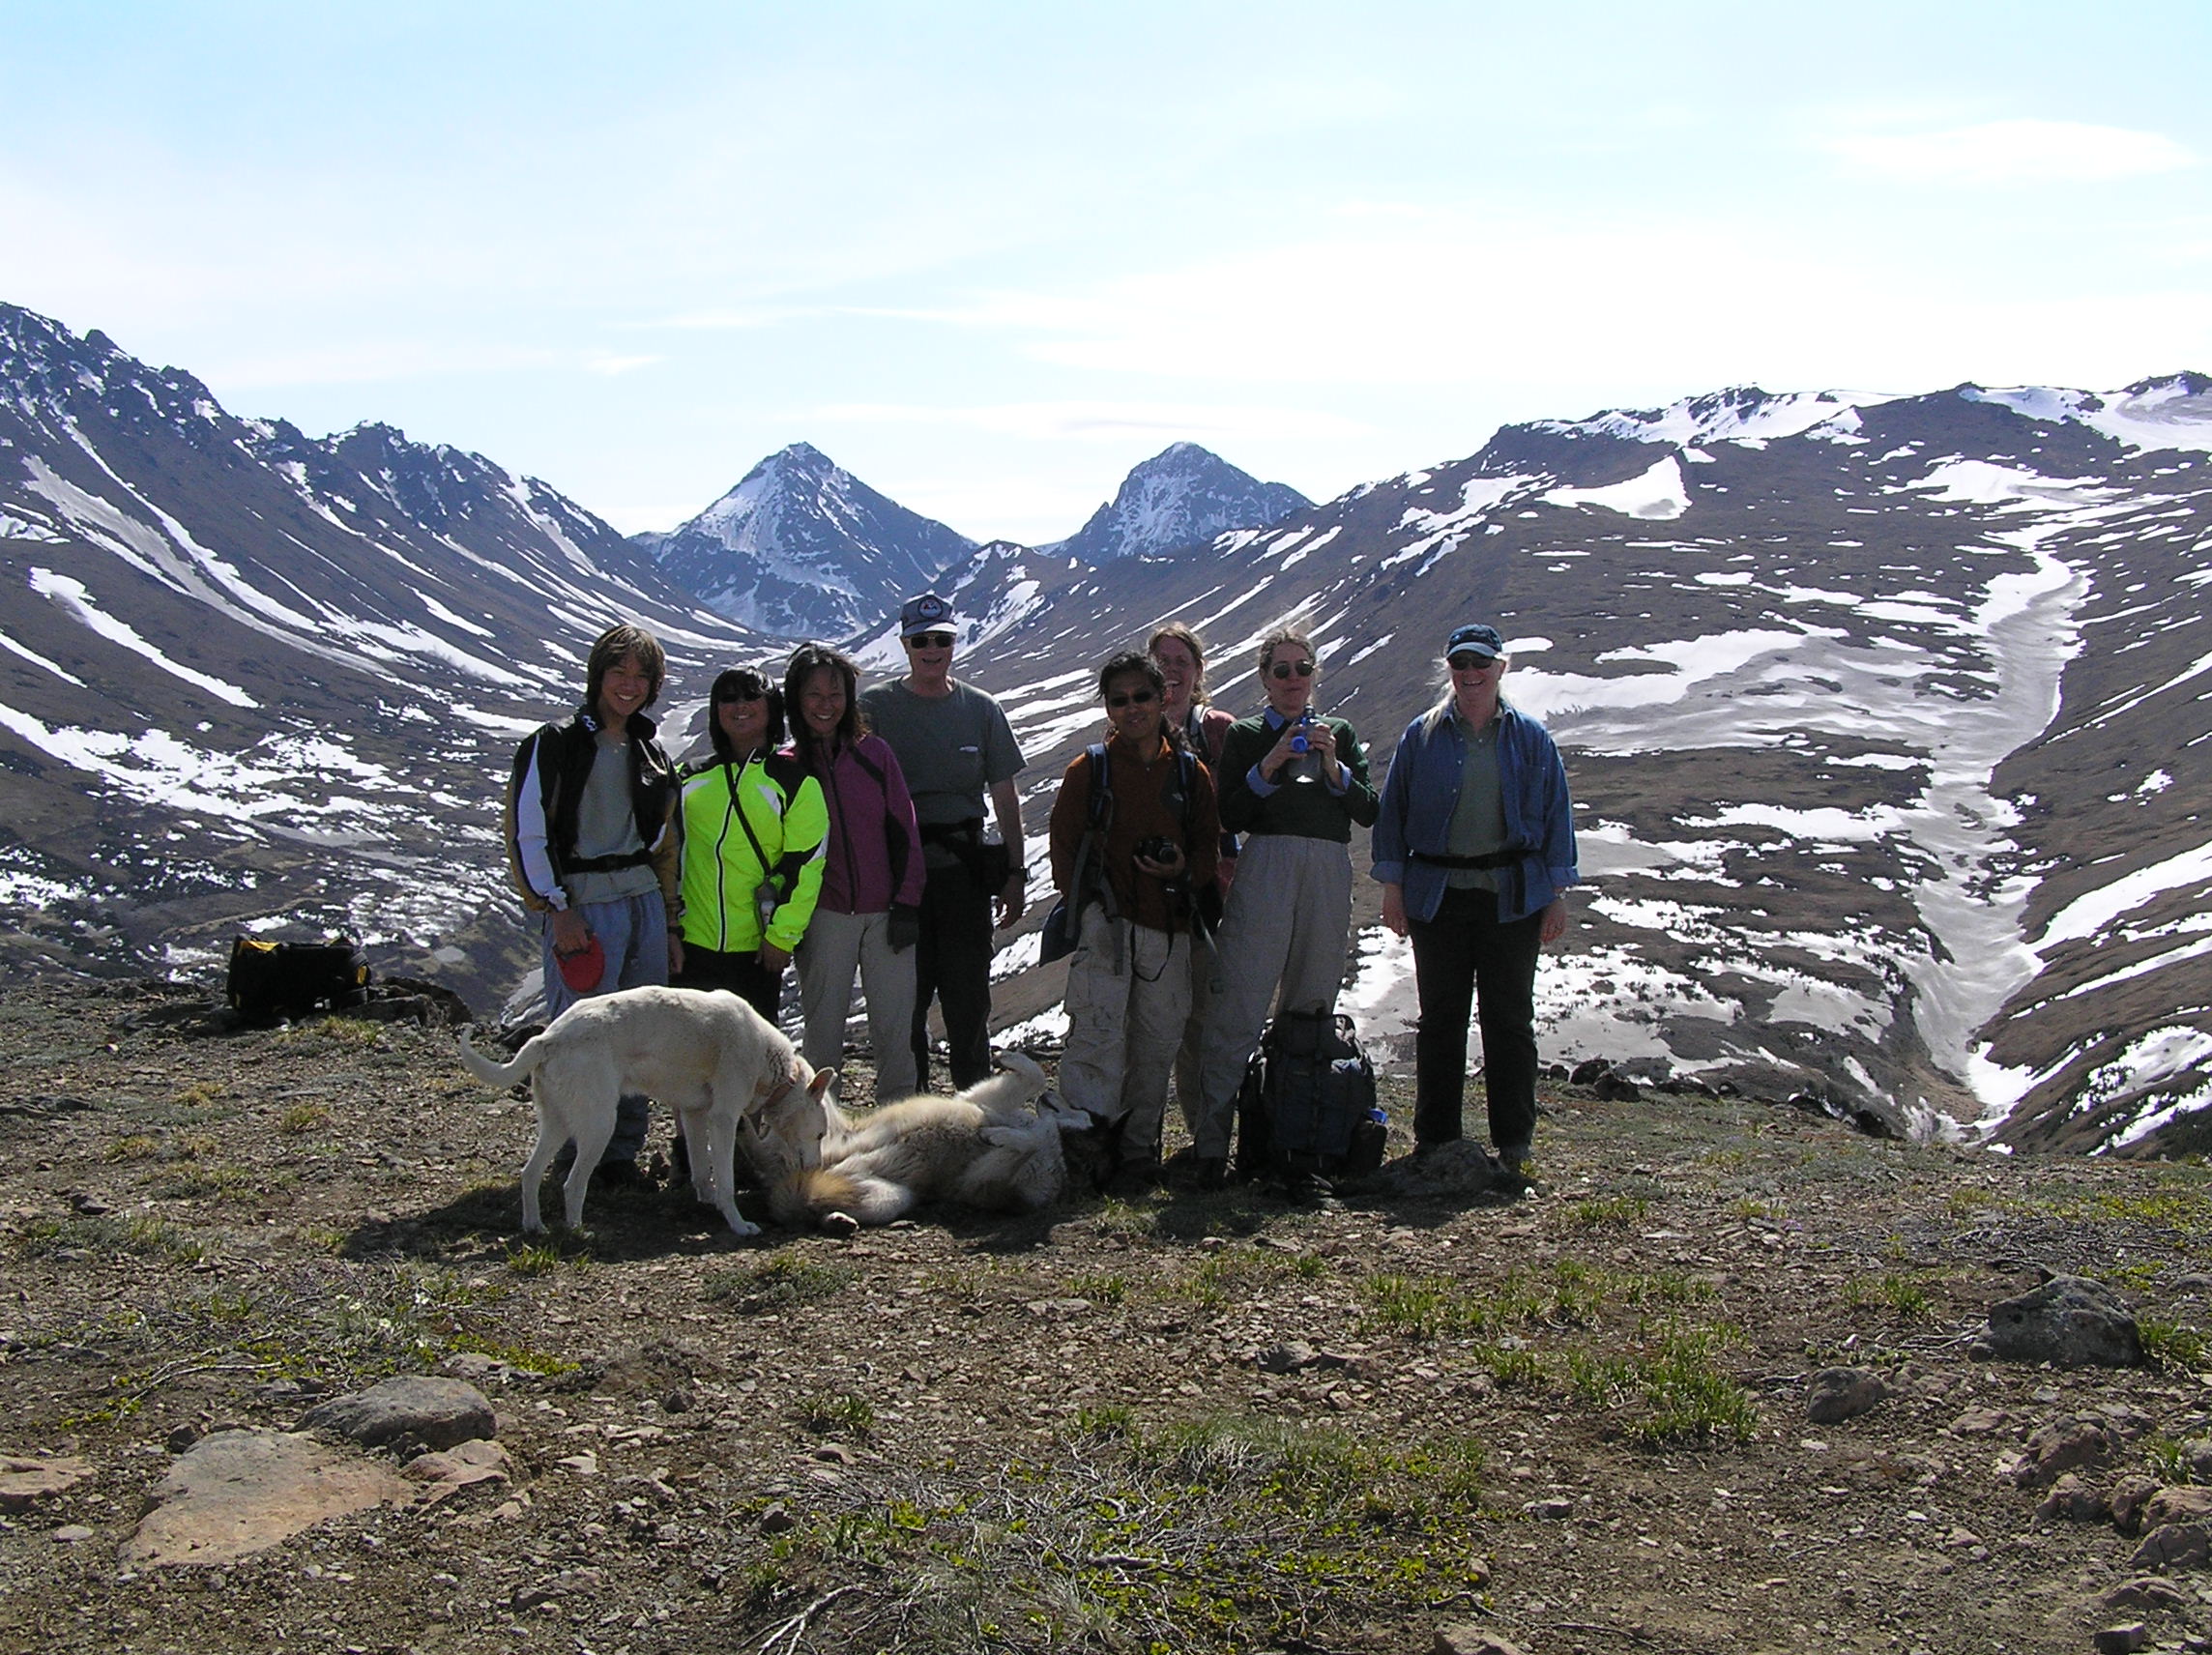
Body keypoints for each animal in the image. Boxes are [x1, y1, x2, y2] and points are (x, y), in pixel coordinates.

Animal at [457, 985, 837, 1237]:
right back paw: (577, 1231)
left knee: (530, 1173)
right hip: (598, 1126)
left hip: (557, 1124)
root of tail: (547, 1038)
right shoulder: (724, 1119)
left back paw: (534, 1226)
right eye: (820, 1134)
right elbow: (726, 1182)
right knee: (572, 1183)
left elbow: (702, 1172)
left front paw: (708, 1203)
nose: (818, 1168)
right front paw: (738, 1224)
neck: (777, 1070)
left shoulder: (695, 1115)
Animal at [769, 1052, 1093, 1231]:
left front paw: (1001, 1136)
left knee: (816, 1205)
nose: (1053, 1096)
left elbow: (1025, 1143)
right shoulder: (980, 1101)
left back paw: (835, 1219)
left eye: (1084, 1111)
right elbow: (1033, 1077)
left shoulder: (991, 1181)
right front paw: (1010, 1058)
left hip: (889, 1198)